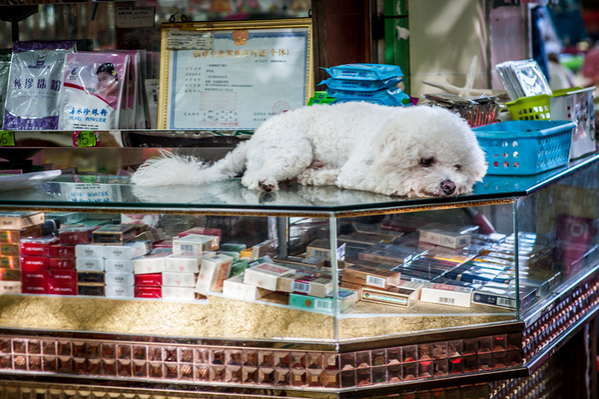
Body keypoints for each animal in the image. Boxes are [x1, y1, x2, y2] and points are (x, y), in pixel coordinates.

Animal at [131, 102, 488, 198]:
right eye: (426, 161)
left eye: (458, 167)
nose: (450, 185)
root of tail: (251, 139)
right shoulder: (361, 172)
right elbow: (394, 182)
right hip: (293, 150)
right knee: (251, 178)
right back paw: (267, 183)